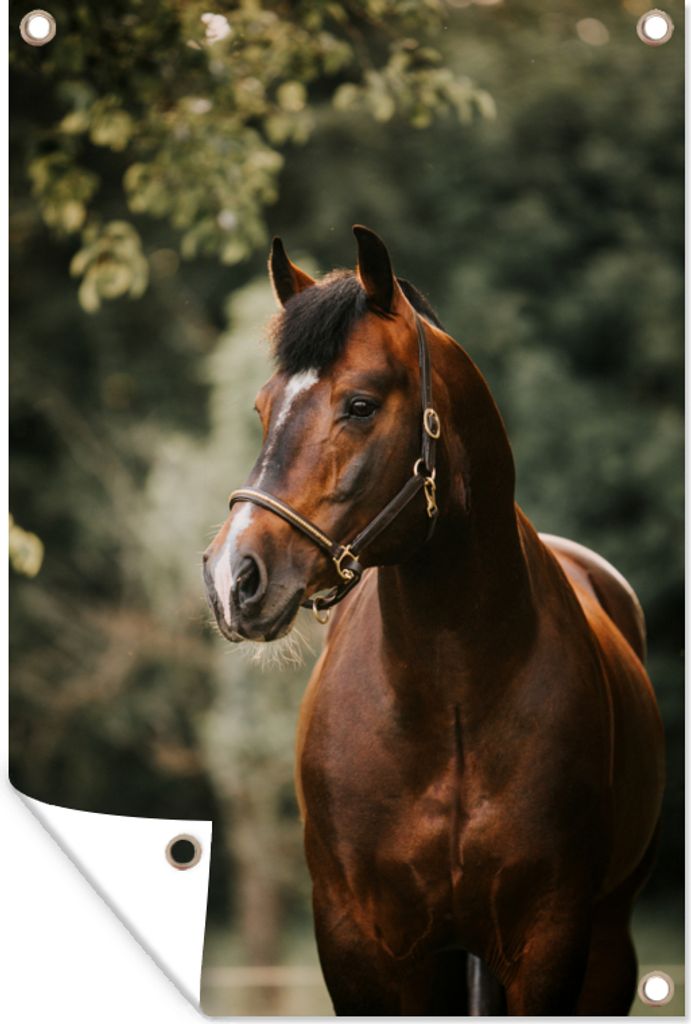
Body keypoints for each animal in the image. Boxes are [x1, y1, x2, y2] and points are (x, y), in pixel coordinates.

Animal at [203, 226, 665, 1015]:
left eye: (359, 405)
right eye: (263, 409)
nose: (234, 577)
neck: (451, 695)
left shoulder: (551, 940)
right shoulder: (360, 948)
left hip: (604, 947)